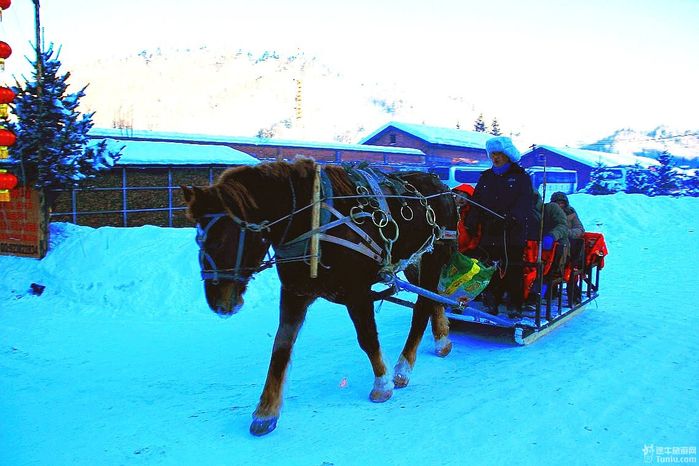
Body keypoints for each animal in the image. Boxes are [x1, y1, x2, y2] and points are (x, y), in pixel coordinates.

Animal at [180, 158, 460, 436]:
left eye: (223, 240)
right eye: (198, 239)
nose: (220, 304)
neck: (313, 222)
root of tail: (441, 186)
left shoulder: (357, 291)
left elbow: (367, 338)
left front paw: (383, 384)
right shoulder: (295, 293)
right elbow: (281, 348)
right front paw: (266, 411)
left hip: (433, 255)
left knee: (422, 307)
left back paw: (404, 367)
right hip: (415, 260)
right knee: (433, 299)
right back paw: (441, 340)